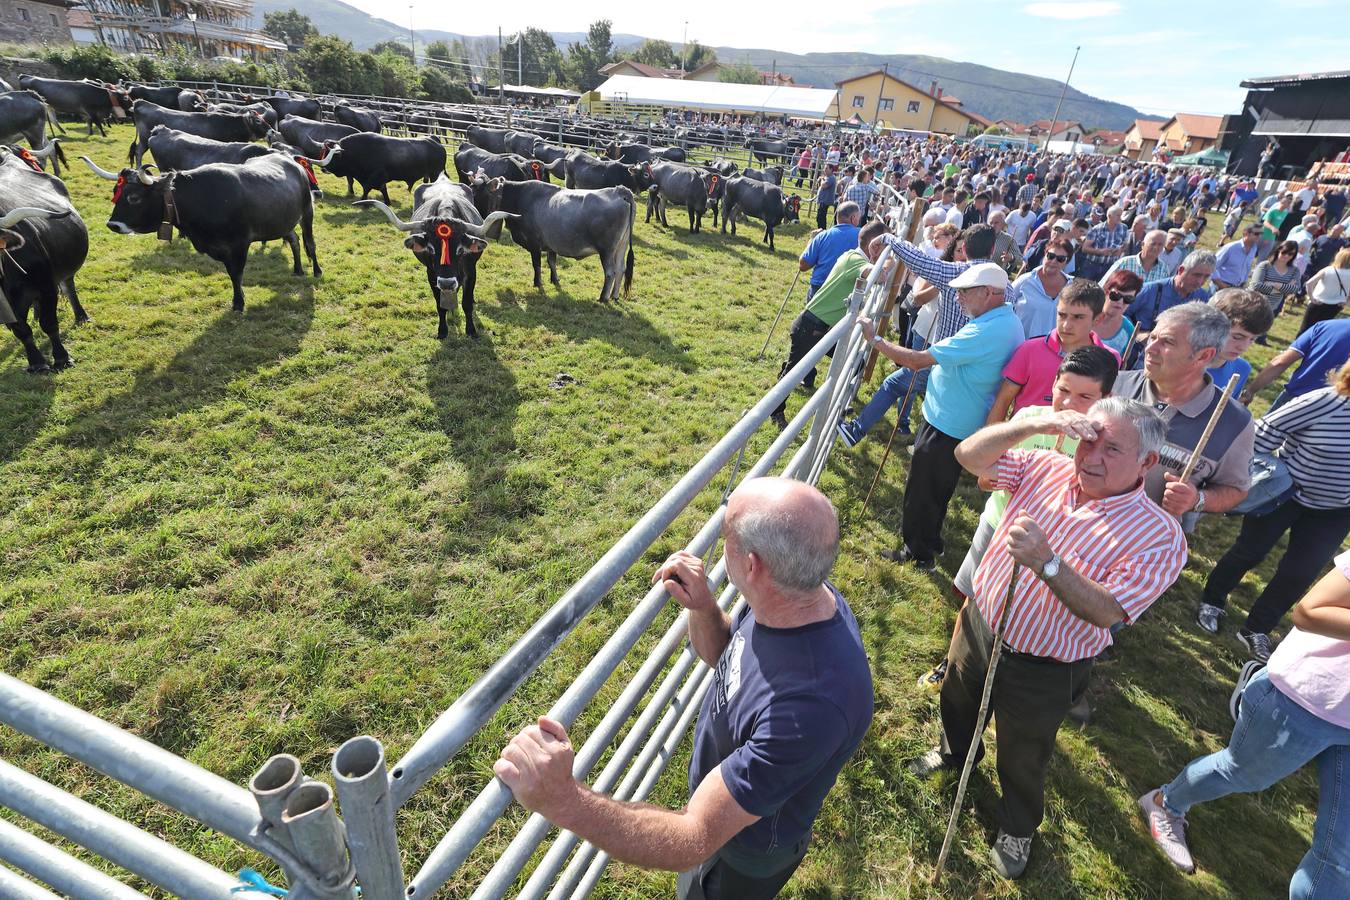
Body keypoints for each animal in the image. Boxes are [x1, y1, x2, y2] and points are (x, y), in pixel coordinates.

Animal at [81, 153, 321, 311]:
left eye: (134, 197)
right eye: (116, 192)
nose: (113, 225)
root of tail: (292, 161)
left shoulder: (239, 244)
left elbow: (236, 273)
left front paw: (238, 303)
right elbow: (231, 273)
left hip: (307, 213)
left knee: (309, 243)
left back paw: (317, 271)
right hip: (283, 222)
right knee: (294, 240)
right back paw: (298, 269)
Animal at [356, 174, 513, 340]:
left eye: (460, 250)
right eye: (431, 249)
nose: (446, 283)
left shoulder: (471, 271)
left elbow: (467, 303)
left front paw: (471, 330)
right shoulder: (431, 274)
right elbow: (439, 305)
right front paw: (442, 330)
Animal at [467, 170, 634, 304]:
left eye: (474, 192)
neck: (519, 197)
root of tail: (620, 190)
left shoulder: (534, 243)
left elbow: (537, 264)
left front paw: (537, 283)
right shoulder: (551, 244)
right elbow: (551, 262)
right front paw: (554, 280)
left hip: (607, 250)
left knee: (610, 272)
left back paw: (603, 298)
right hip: (621, 246)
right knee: (621, 269)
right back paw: (614, 296)